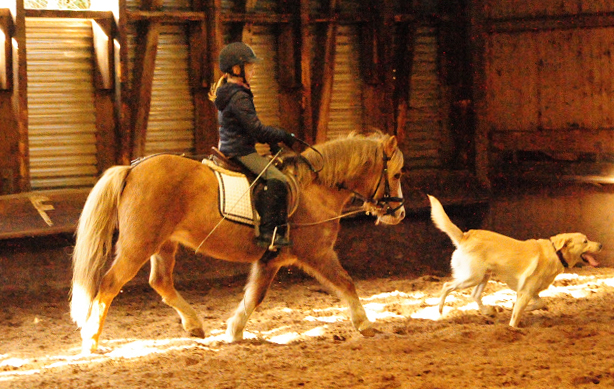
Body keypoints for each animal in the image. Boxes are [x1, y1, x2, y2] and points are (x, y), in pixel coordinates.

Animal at [71, 130, 404, 352]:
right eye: (398, 174)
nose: (399, 213)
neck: (316, 188)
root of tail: (132, 168)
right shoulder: (318, 253)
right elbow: (346, 282)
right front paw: (365, 323)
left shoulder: (270, 260)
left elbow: (254, 295)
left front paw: (233, 331)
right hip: (138, 246)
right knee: (109, 284)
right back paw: (91, 340)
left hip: (163, 244)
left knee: (161, 282)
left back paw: (194, 324)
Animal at [430, 196, 604, 326]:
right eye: (585, 241)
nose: (601, 245)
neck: (557, 254)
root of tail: (465, 236)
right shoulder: (525, 293)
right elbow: (516, 318)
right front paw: (512, 328)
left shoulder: (530, 291)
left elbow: (539, 304)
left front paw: (525, 309)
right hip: (472, 277)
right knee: (447, 286)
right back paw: (439, 312)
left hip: (484, 276)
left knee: (474, 295)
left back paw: (487, 312)